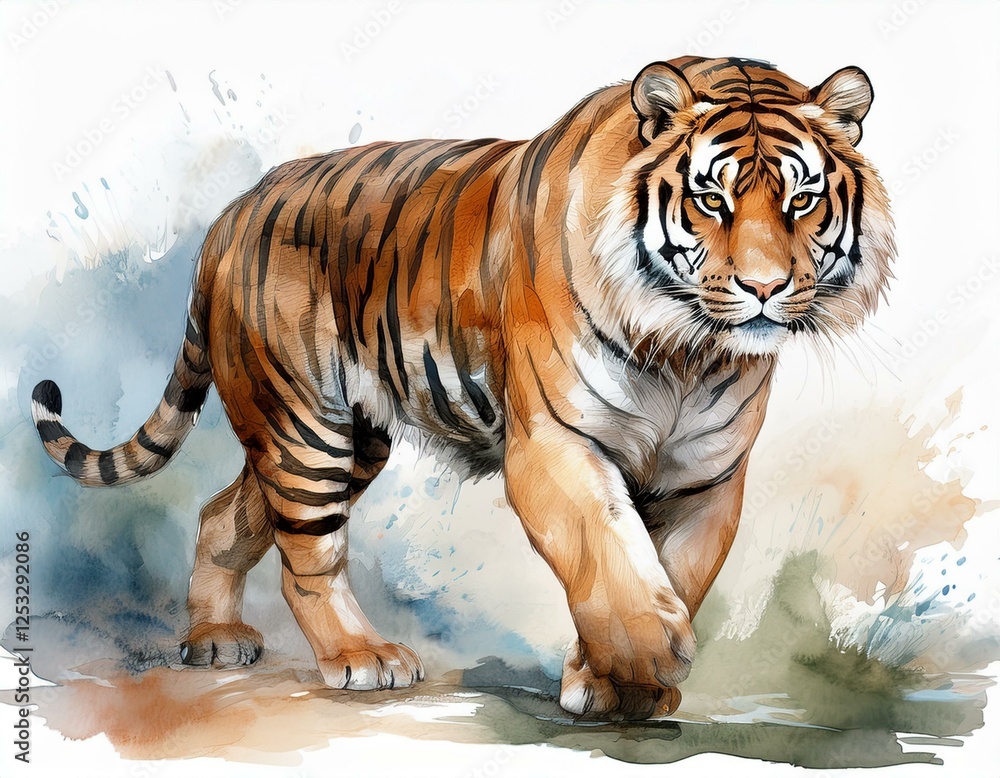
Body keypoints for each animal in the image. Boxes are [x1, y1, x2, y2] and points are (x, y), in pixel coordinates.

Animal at [31, 56, 894, 720]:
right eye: (712, 199)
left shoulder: (705, 478)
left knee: (225, 515)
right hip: (305, 424)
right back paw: (362, 655)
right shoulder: (554, 444)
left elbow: (672, 570)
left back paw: (212, 640)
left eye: (802, 200)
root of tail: (232, 214)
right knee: (306, 554)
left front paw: (620, 686)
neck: (689, 352)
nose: (763, 288)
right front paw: (653, 654)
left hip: (343, 437)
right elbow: (609, 554)